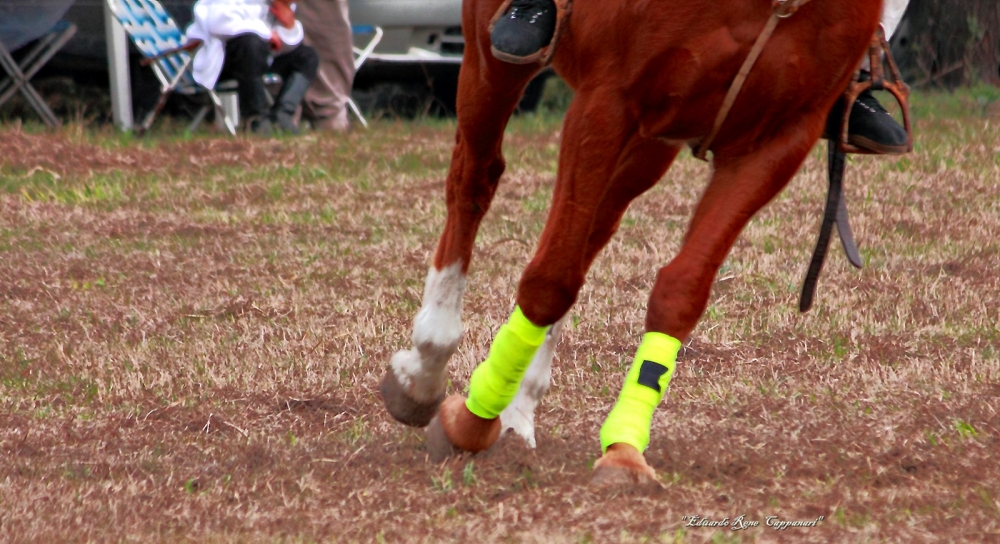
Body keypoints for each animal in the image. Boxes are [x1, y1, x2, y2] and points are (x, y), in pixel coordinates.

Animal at [380, 0, 884, 484]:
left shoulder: (777, 141)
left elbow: (681, 292)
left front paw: (623, 449)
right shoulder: (606, 101)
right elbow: (550, 282)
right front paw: (471, 418)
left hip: (652, 145)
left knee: (592, 234)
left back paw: (517, 410)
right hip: (492, 61)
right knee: (474, 180)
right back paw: (426, 368)